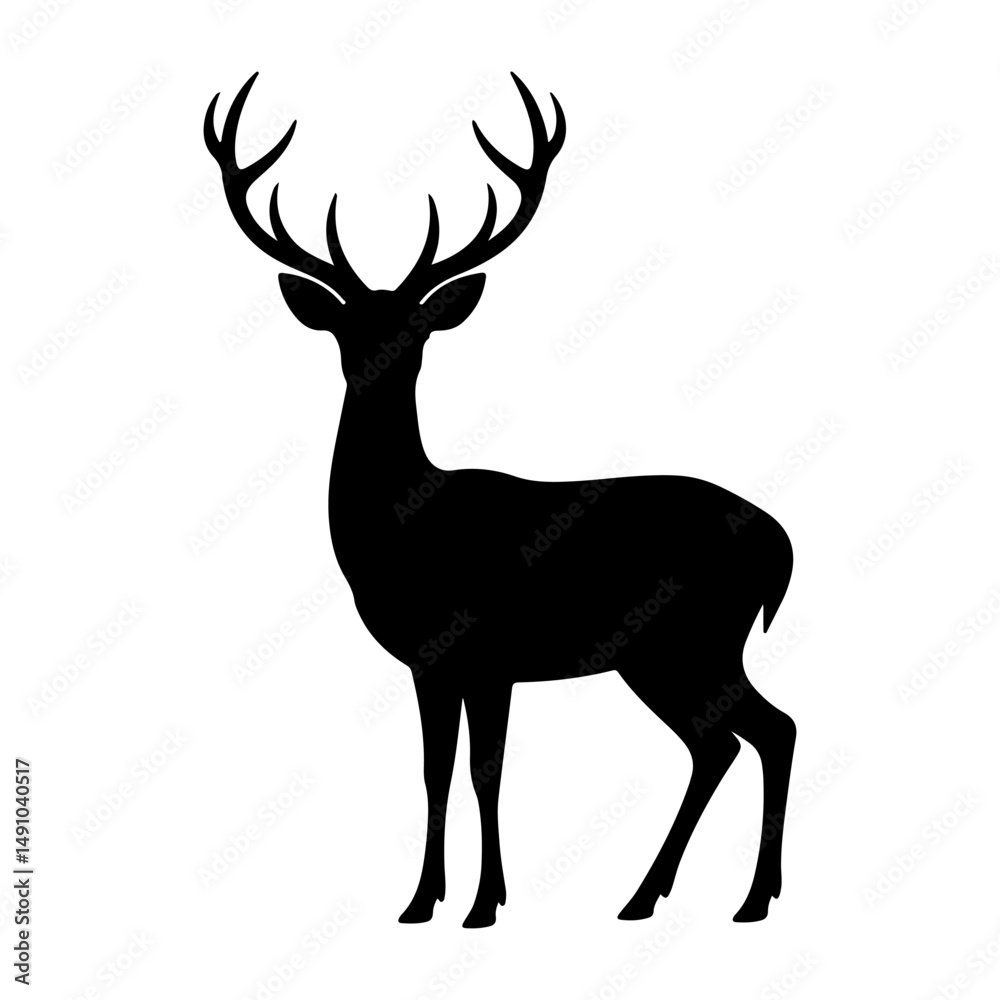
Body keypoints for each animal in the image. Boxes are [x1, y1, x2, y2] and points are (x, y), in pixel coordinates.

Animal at [205, 72, 796, 929]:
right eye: (347, 329)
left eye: (417, 328)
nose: (378, 363)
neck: (402, 535)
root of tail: (781, 543)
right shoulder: (434, 662)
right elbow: (437, 770)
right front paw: (425, 900)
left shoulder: (484, 652)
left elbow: (486, 772)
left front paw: (483, 903)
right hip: (673, 652)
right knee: (733, 740)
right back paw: (672, 896)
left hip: (693, 639)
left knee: (759, 733)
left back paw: (726, 898)